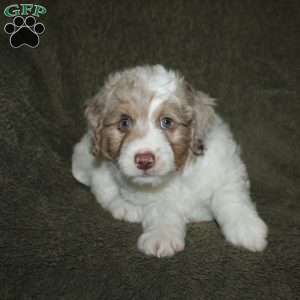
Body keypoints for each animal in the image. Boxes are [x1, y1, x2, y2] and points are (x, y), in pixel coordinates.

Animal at [72, 64, 268, 256]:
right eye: (124, 123)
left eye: (166, 122)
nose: (144, 160)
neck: (178, 173)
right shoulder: (151, 197)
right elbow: (162, 210)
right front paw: (161, 236)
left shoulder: (226, 171)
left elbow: (231, 197)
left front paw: (247, 229)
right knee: (103, 188)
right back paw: (125, 207)